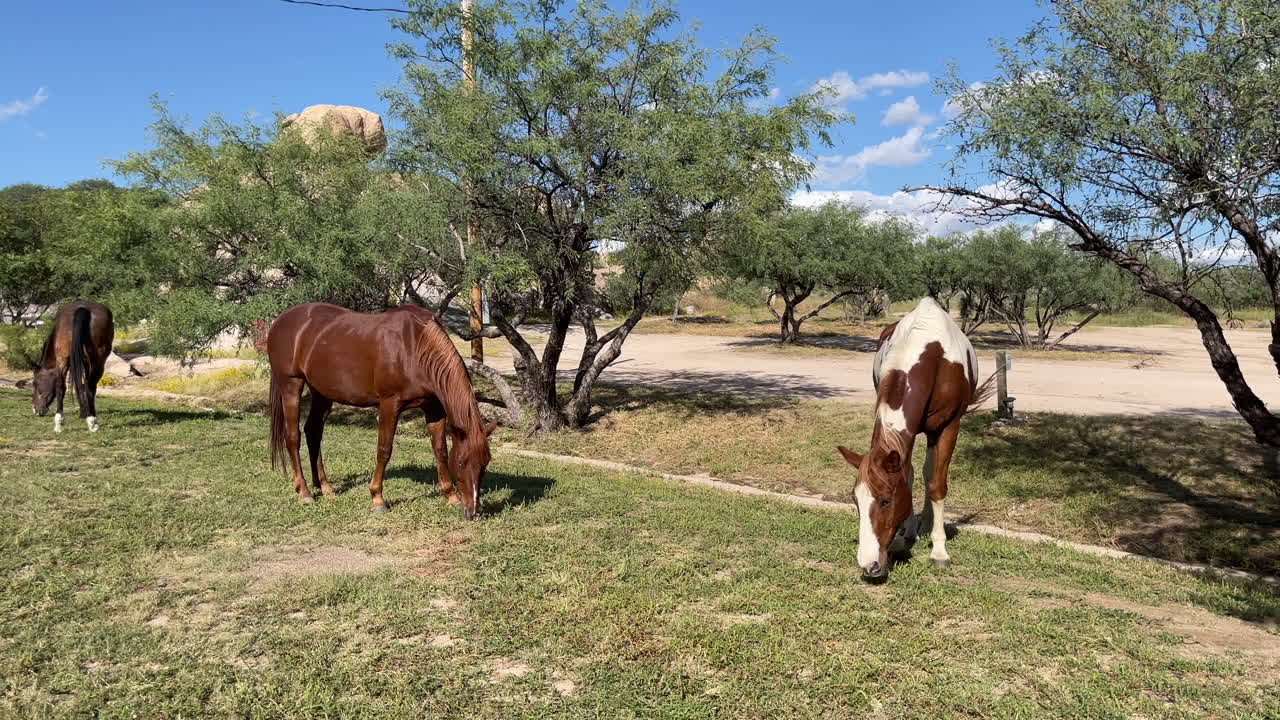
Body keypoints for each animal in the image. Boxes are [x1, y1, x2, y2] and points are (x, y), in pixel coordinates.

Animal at [27, 301, 115, 433]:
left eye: (36, 384)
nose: (35, 410)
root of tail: (83, 309)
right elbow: (81, 385)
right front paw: (84, 412)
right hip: (97, 361)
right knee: (89, 385)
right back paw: (91, 420)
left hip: (65, 360)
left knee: (61, 386)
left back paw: (60, 423)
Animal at [266, 302, 497, 519]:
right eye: (462, 462)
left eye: (485, 463)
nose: (473, 511)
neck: (415, 347)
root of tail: (279, 321)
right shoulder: (389, 405)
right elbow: (384, 450)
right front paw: (377, 499)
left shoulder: (434, 408)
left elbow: (440, 450)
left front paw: (450, 496)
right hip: (291, 386)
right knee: (293, 437)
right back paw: (304, 492)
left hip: (322, 392)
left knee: (313, 432)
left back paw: (325, 487)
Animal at [836, 296, 994, 581]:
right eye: (855, 500)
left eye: (885, 501)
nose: (868, 564)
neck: (930, 354)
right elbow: (907, 477)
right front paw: (903, 538)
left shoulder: (948, 427)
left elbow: (937, 485)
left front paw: (939, 551)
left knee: (931, 473)